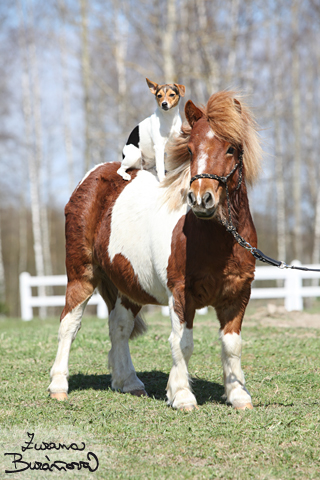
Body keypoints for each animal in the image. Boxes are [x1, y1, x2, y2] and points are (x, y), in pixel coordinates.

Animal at [48, 92, 262, 410]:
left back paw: (129, 382)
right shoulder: (181, 294)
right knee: (69, 324)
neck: (217, 240)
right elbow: (182, 343)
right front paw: (182, 395)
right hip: (81, 274)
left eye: (231, 149)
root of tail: (92, 176)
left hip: (129, 285)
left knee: (119, 326)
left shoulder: (237, 295)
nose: (201, 199)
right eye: (190, 149)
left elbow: (232, 345)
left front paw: (238, 396)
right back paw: (59, 386)